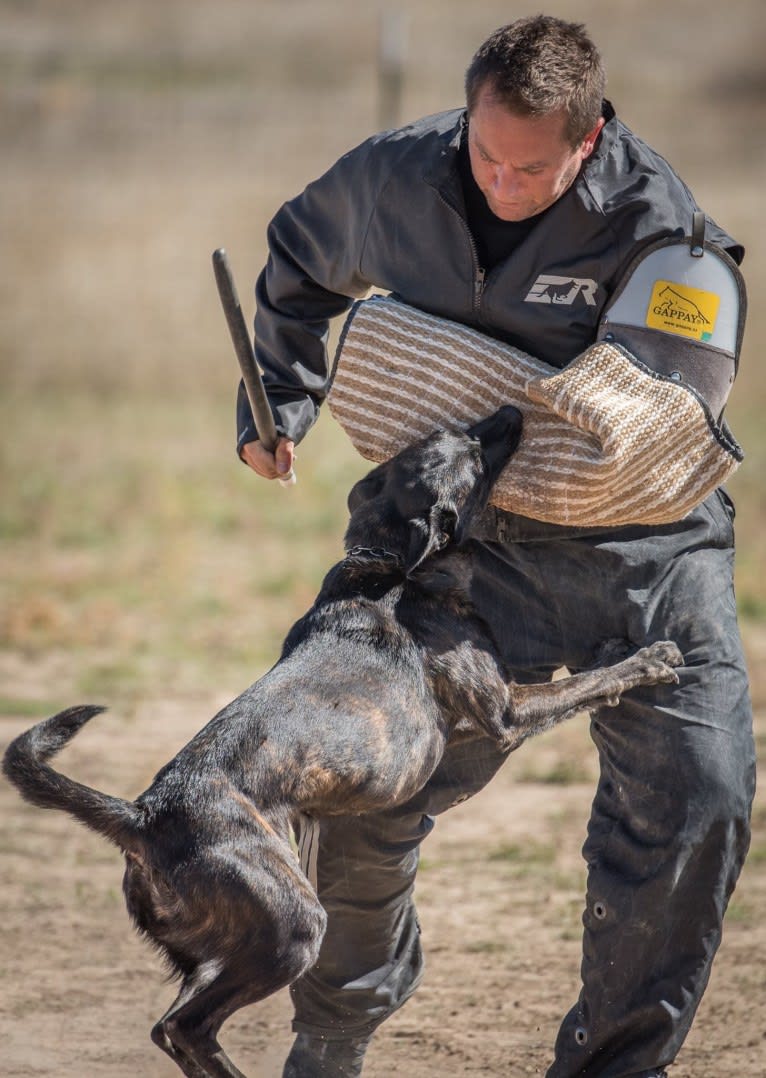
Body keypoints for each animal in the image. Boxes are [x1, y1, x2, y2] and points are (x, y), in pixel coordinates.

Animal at [0, 405, 685, 1078]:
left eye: (451, 434)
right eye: (472, 458)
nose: (513, 410)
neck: (390, 565)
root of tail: (144, 815)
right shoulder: (507, 713)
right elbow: (590, 683)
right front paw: (648, 658)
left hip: (226, 947)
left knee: (173, 1027)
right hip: (293, 926)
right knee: (184, 1027)